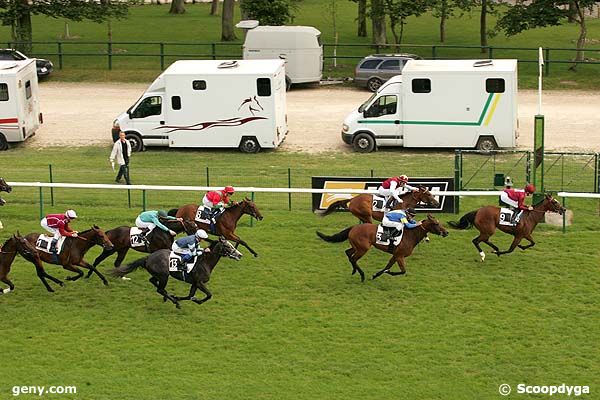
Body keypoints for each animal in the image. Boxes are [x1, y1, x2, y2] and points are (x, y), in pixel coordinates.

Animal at [111, 238, 243, 310]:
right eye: (227, 246)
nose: (240, 255)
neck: (205, 262)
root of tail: (148, 257)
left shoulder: (195, 283)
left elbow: (190, 296)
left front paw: (179, 297)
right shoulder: (199, 282)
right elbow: (209, 295)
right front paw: (196, 301)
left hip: (159, 275)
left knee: (154, 282)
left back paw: (168, 297)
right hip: (164, 276)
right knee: (159, 289)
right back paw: (174, 302)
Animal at [316, 216, 448, 282]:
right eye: (436, 224)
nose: (446, 232)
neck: (410, 235)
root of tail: (353, 227)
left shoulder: (395, 255)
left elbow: (387, 266)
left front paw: (376, 275)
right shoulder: (400, 256)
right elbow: (402, 271)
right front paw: (387, 273)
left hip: (357, 247)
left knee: (348, 253)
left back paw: (354, 271)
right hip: (363, 248)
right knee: (353, 258)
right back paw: (362, 275)